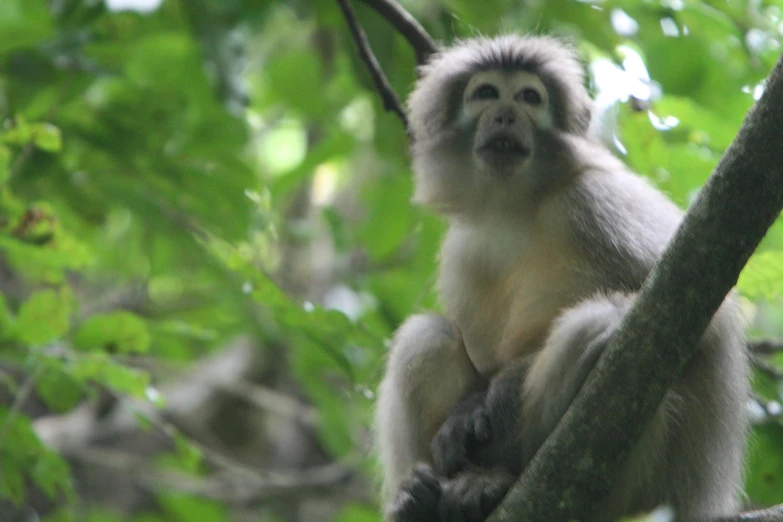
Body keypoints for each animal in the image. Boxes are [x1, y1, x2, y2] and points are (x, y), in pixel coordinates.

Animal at [376, 36, 752, 520]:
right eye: (485, 94)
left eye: (529, 97)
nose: (506, 115)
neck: (517, 206)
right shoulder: (465, 247)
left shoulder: (596, 200)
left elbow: (705, 317)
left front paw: (487, 402)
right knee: (425, 335)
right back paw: (421, 501)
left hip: (635, 489)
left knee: (596, 323)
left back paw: (492, 481)